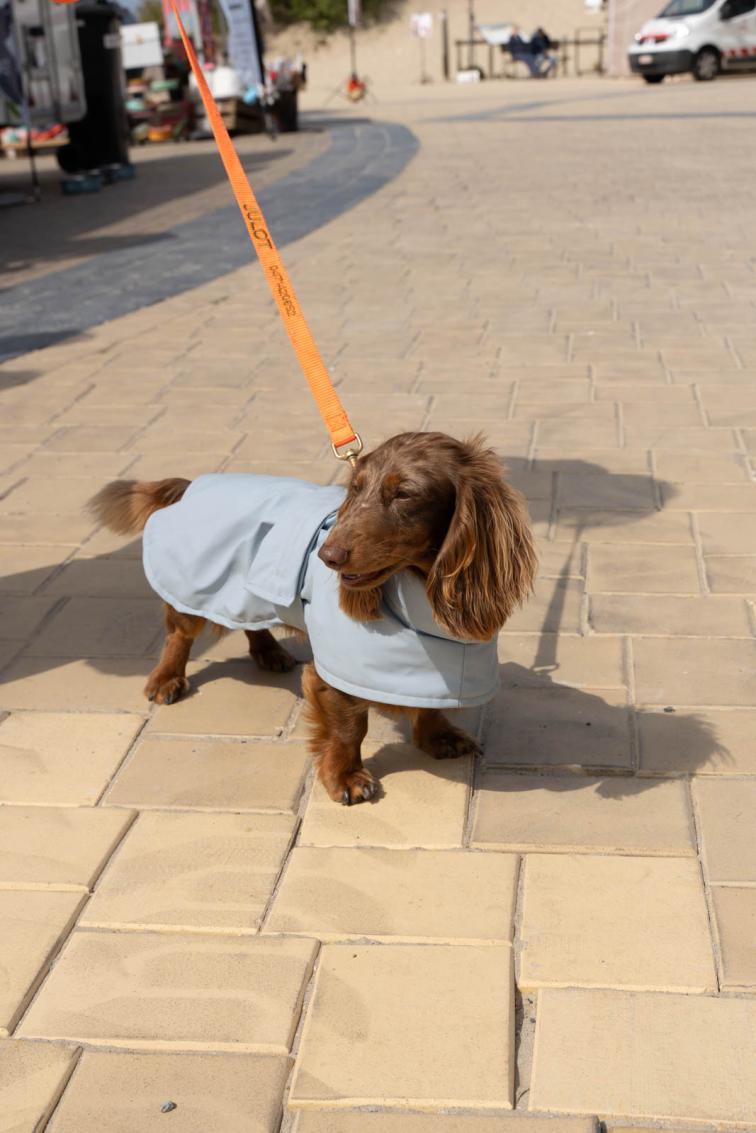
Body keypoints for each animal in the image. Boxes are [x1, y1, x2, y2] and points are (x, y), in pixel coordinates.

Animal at [89, 432, 536, 804]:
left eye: (405, 493)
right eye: (355, 489)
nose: (327, 555)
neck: (419, 600)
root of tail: (190, 485)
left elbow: (427, 703)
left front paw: (438, 737)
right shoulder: (333, 674)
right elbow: (349, 727)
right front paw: (345, 778)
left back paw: (269, 653)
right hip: (195, 587)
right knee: (179, 635)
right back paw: (166, 679)